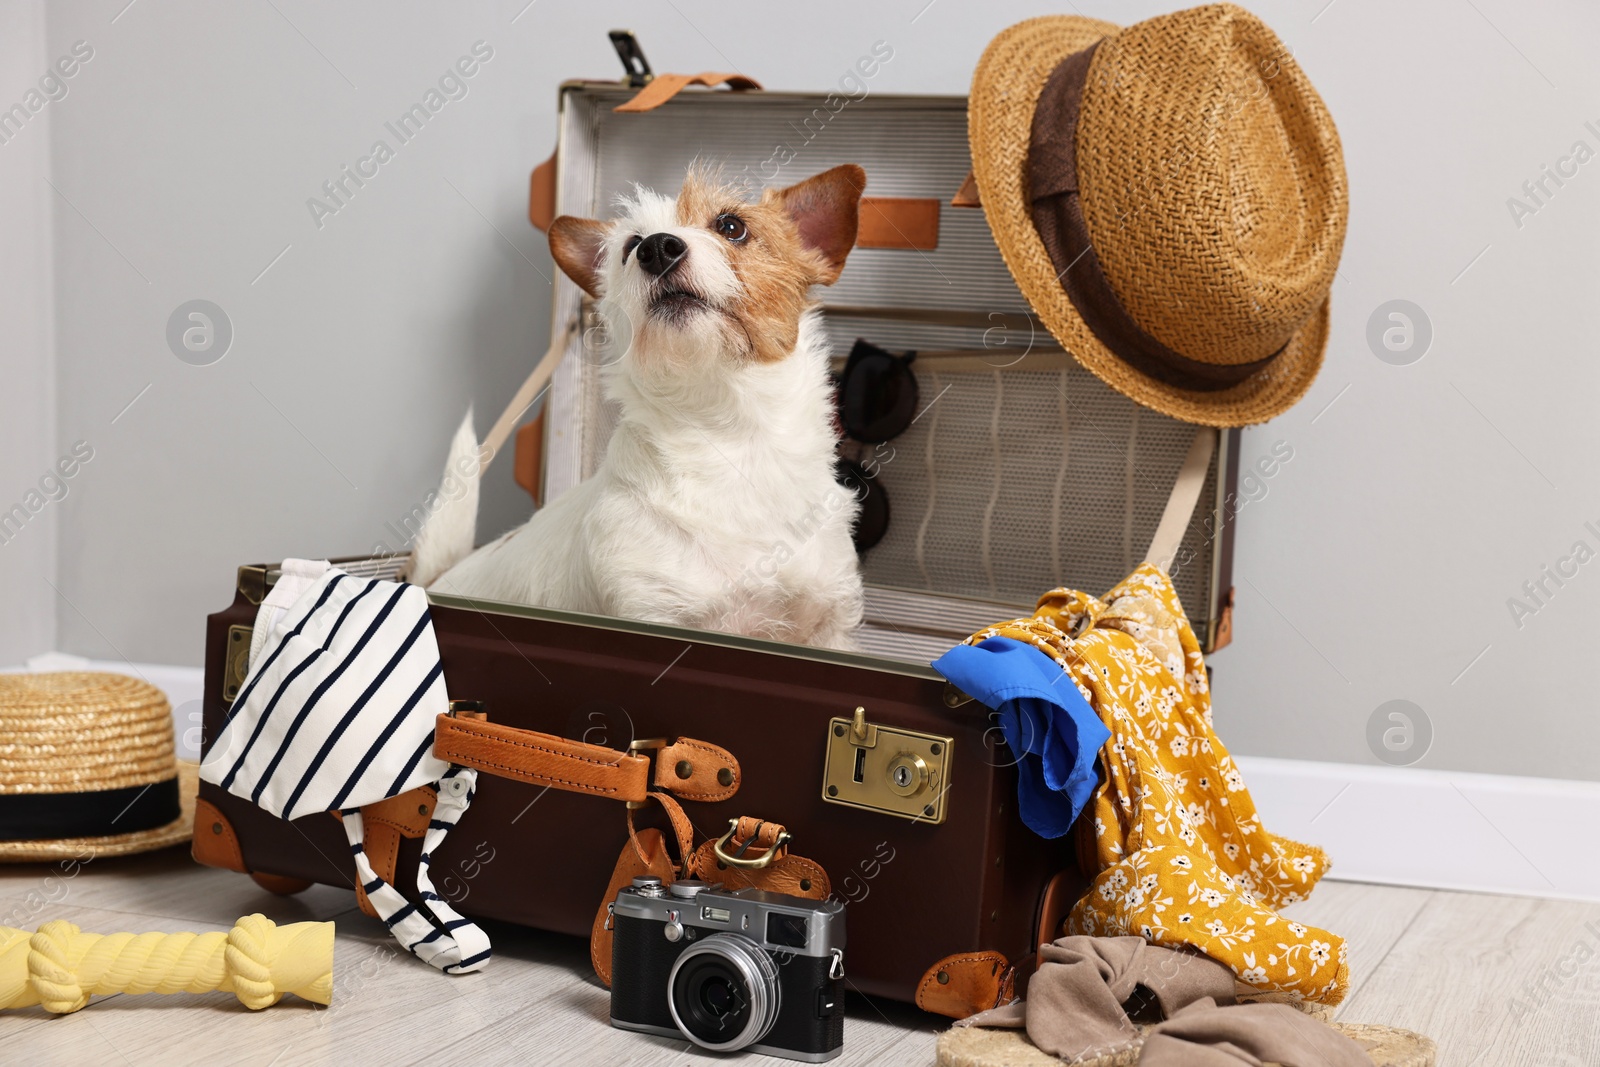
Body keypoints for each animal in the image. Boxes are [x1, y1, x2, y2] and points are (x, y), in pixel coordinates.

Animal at [406, 164, 870, 652]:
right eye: (630, 246)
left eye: (731, 226)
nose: (657, 247)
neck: (730, 438)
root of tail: (431, 582)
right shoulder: (653, 618)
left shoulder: (830, 631)